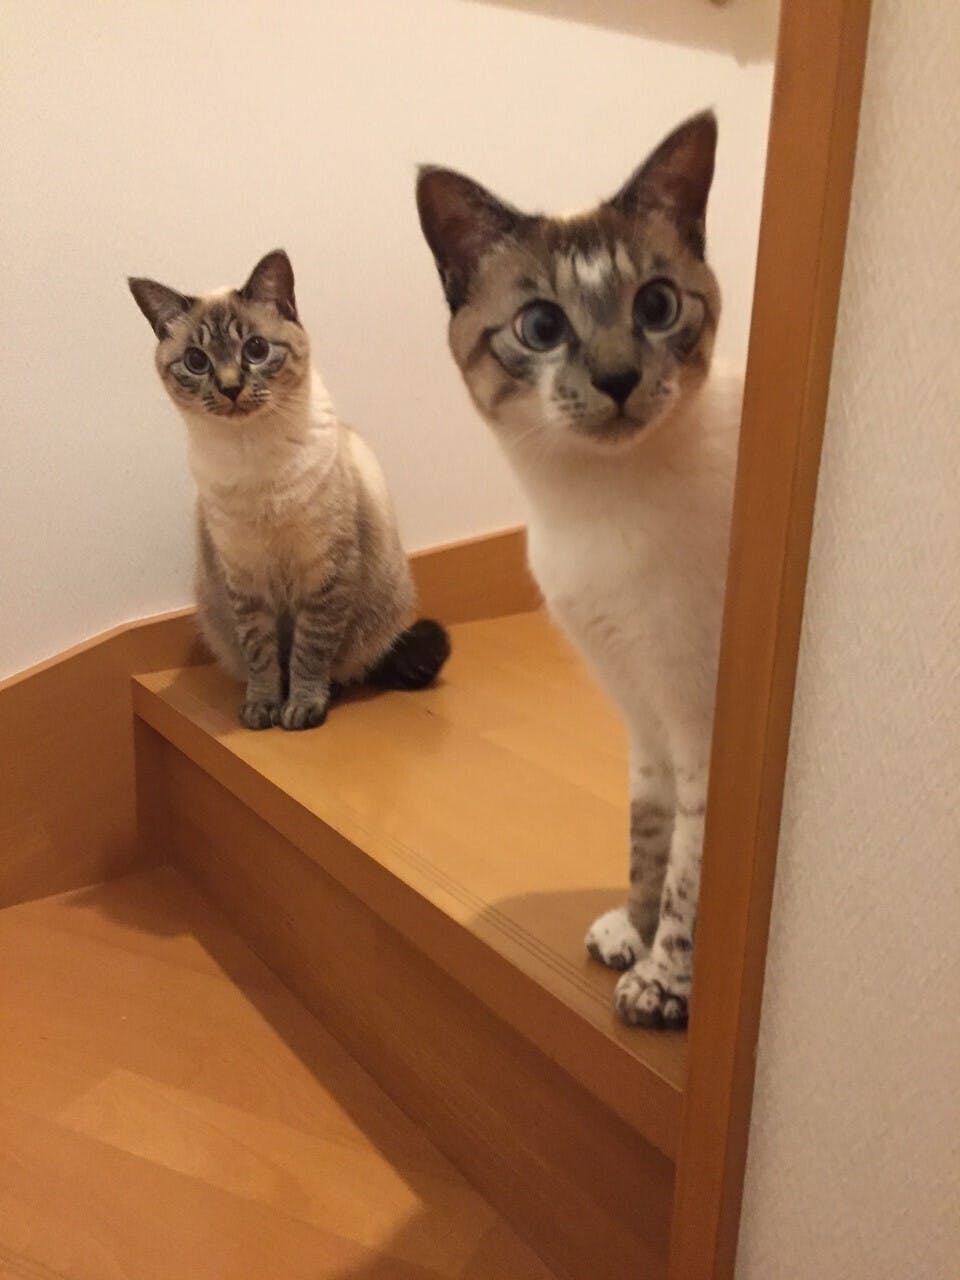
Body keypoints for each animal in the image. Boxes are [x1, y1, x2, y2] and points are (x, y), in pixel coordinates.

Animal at [129, 249, 449, 731]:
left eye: (256, 350)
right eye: (196, 361)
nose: (230, 388)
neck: (252, 454)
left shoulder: (325, 572)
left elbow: (309, 652)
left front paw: (300, 708)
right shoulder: (245, 580)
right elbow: (262, 657)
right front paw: (263, 708)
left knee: (350, 666)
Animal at [416, 112, 741, 1028]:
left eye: (656, 307)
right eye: (542, 327)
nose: (620, 378)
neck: (590, 508)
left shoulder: (699, 724)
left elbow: (691, 872)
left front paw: (664, 986)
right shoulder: (643, 716)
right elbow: (647, 840)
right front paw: (630, 934)